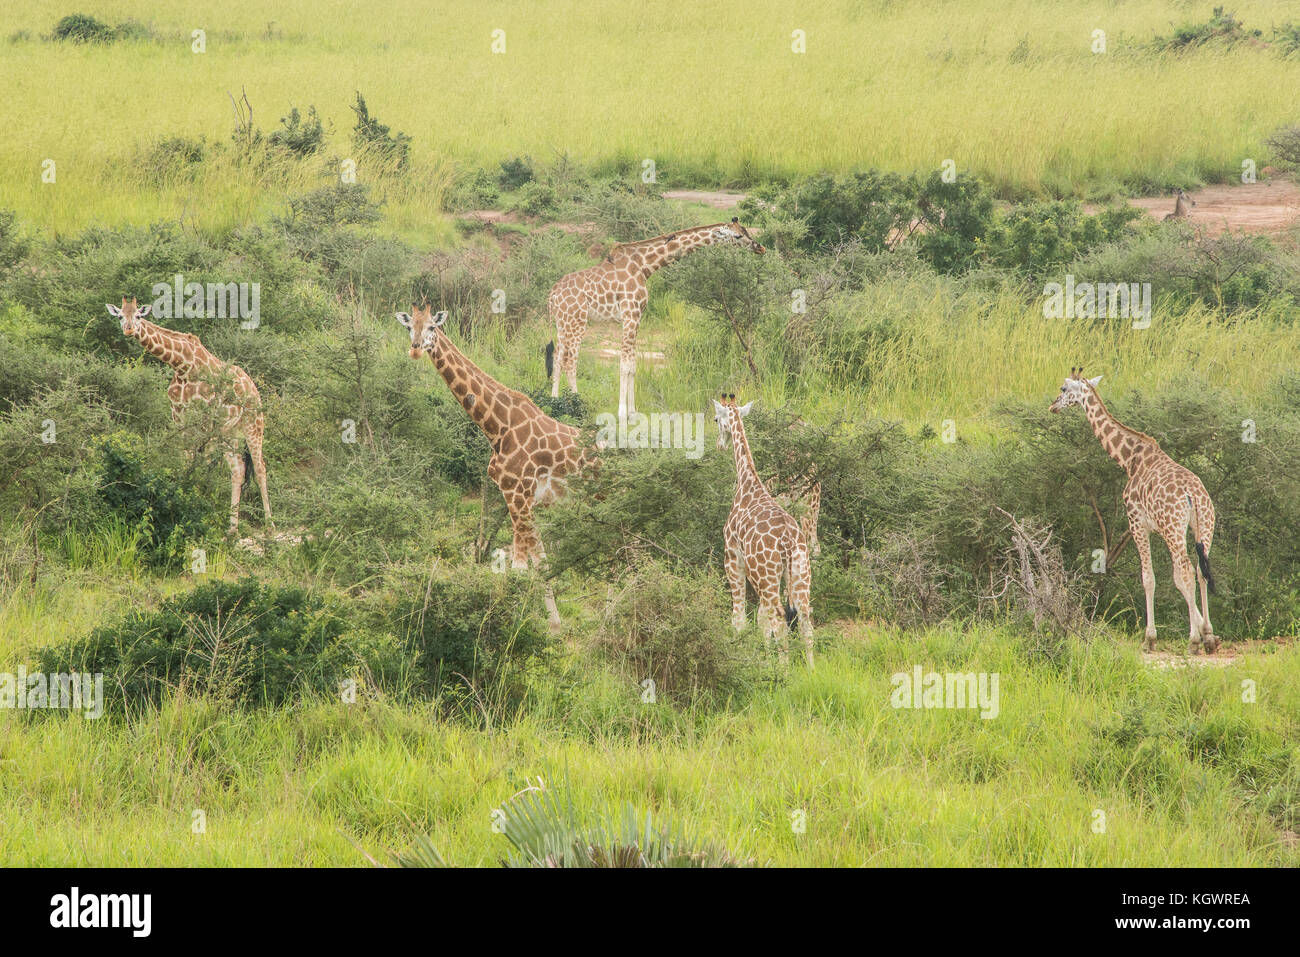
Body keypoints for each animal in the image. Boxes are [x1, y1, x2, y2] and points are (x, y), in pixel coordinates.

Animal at [107, 295, 271, 535]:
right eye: (120, 316)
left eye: (138, 315)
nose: (128, 330)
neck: (182, 365)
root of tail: (253, 388)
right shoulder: (179, 417)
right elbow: (186, 463)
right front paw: (183, 506)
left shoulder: (205, 419)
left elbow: (200, 464)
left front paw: (194, 509)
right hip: (229, 432)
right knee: (238, 469)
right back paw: (232, 531)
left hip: (253, 425)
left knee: (260, 469)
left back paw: (270, 525)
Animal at [392, 304, 592, 629]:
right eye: (410, 328)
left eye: (432, 327)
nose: (415, 349)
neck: (497, 427)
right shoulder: (522, 499)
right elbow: (541, 561)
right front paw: (553, 626)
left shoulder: (517, 495)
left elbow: (520, 567)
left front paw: (515, 625)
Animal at [546, 218, 759, 416]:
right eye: (738, 235)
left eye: (746, 231)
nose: (759, 247)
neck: (644, 266)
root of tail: (552, 295)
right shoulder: (630, 314)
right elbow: (624, 365)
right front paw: (622, 413)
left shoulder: (637, 317)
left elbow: (632, 365)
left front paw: (633, 412)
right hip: (577, 321)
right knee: (570, 361)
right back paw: (577, 404)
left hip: (562, 323)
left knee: (557, 358)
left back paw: (554, 402)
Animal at [712, 392, 811, 670]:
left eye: (715, 419)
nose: (719, 446)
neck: (748, 483)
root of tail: (787, 541)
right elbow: (761, 621)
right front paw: (765, 659)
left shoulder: (732, 557)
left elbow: (740, 618)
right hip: (800, 572)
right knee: (805, 619)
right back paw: (811, 669)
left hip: (765, 575)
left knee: (779, 617)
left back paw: (785, 670)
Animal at [1045, 369, 1216, 655]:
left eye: (1063, 388)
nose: (1053, 405)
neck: (1130, 459)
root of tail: (1193, 495)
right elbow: (1175, 578)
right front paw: (1205, 632)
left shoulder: (1136, 522)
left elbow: (1149, 578)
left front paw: (1150, 638)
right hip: (1205, 525)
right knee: (1200, 571)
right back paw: (1209, 637)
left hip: (1174, 529)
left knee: (1186, 572)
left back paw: (1193, 641)